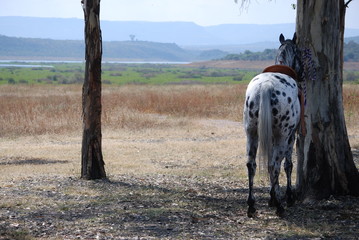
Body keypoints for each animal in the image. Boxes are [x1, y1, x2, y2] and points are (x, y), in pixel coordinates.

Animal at [245, 33, 304, 218]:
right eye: (299, 53)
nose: (303, 72)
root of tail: (265, 87)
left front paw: (272, 196)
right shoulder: (290, 137)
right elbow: (288, 165)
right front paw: (286, 197)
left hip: (251, 134)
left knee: (251, 165)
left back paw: (251, 205)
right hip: (283, 136)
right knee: (274, 165)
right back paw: (279, 206)